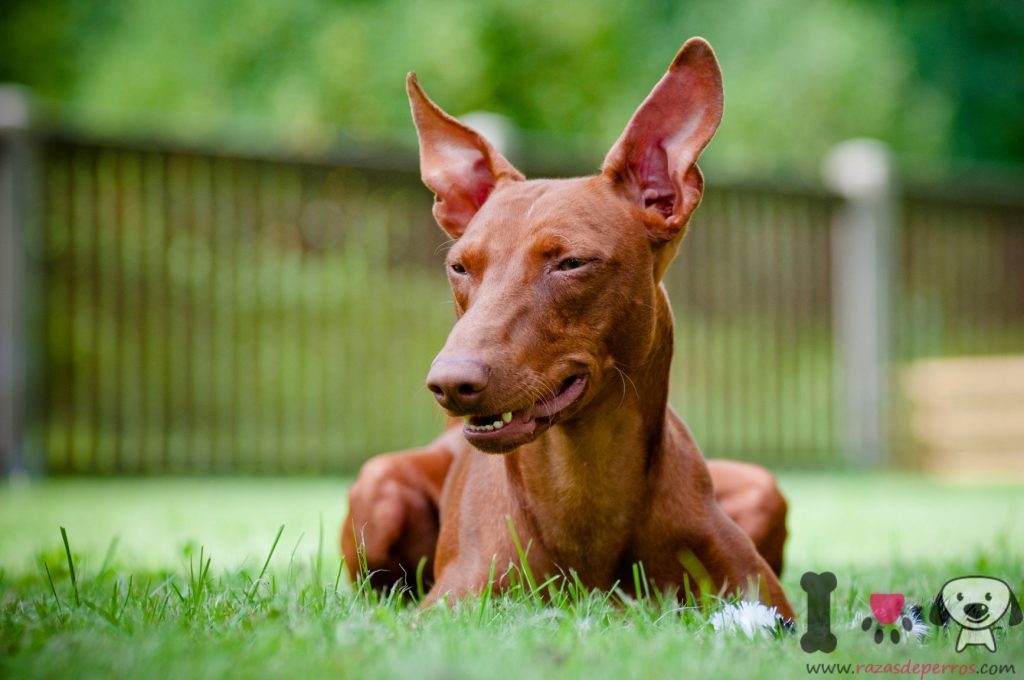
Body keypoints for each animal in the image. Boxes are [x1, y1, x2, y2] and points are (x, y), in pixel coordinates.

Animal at [339, 38, 794, 622]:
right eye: (460, 267)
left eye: (571, 263)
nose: (449, 382)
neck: (583, 481)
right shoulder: (450, 607)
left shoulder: (767, 603)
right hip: (380, 486)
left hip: (764, 487)